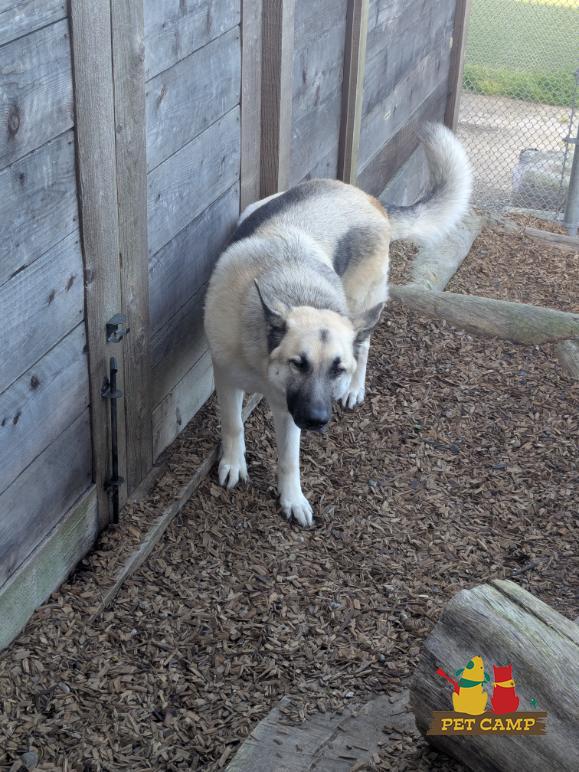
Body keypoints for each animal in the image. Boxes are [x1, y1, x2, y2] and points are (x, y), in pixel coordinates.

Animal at [204, 123, 471, 527]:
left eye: (336, 368)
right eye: (298, 364)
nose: (317, 420)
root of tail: (369, 198)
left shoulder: (289, 410)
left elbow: (289, 460)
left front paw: (292, 498)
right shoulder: (227, 378)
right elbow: (233, 423)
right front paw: (234, 464)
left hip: (363, 305)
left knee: (365, 345)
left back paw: (354, 389)